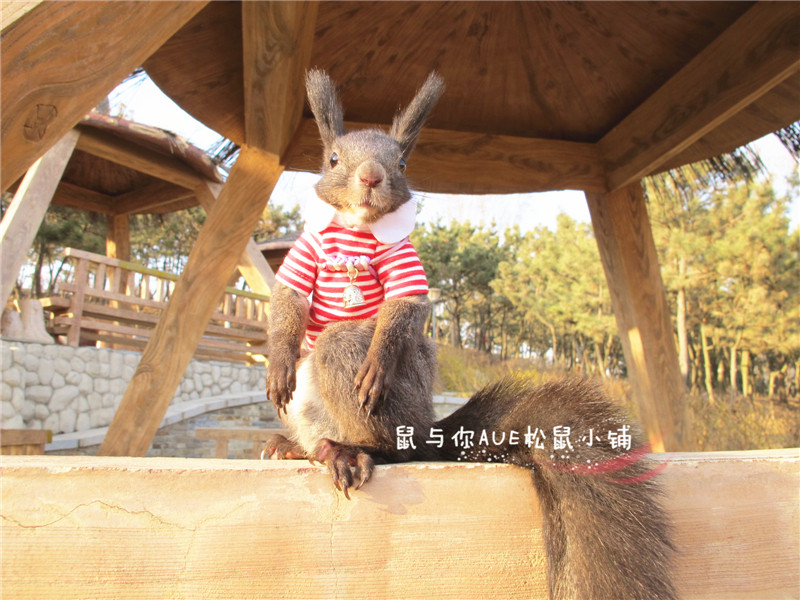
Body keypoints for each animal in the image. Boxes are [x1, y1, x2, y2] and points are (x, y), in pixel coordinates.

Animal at [265, 70, 676, 600]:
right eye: (333, 158)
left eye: (402, 161)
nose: (372, 176)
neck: (358, 228)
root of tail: (426, 432)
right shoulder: (305, 254)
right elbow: (288, 302)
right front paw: (276, 365)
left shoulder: (404, 265)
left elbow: (402, 312)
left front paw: (377, 361)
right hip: (311, 406)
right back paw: (298, 446)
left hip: (396, 401)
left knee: (396, 447)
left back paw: (352, 452)